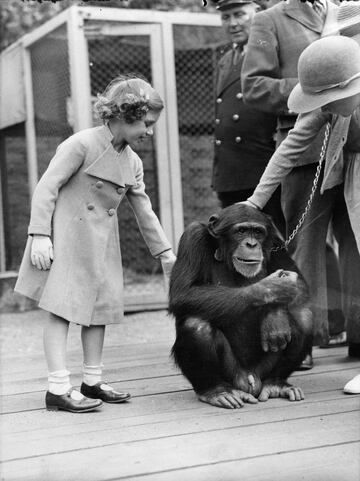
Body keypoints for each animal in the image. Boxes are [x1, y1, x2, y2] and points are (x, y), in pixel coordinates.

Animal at [169, 202, 312, 408]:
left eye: (258, 232)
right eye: (241, 231)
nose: (251, 244)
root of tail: (251, 380)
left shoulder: (278, 243)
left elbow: (300, 284)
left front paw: (275, 318)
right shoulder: (192, 236)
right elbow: (184, 292)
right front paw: (273, 288)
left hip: (262, 371)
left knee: (303, 318)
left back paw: (276, 384)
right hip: (233, 375)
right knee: (196, 325)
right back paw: (215, 391)